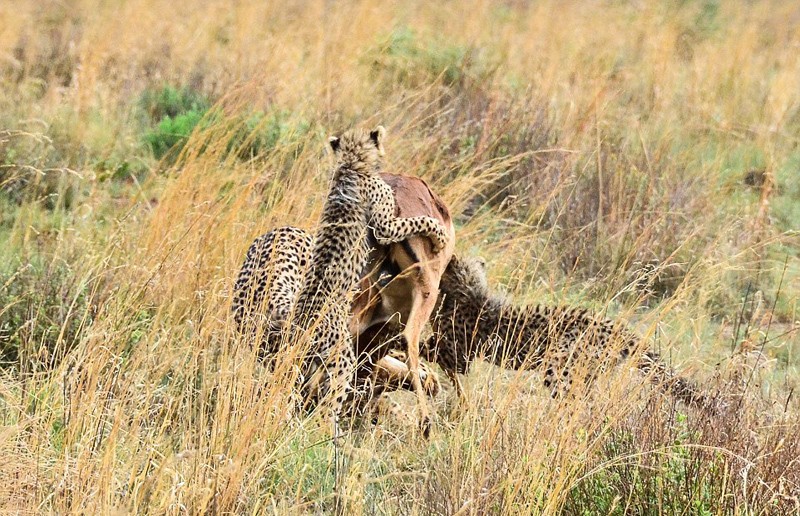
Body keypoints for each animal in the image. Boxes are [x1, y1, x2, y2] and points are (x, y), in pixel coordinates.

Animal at [424, 256, 712, 410]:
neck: (465, 289)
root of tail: (618, 328)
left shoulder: (459, 355)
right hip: (585, 373)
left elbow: (427, 348)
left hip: (559, 366)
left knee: (580, 404)